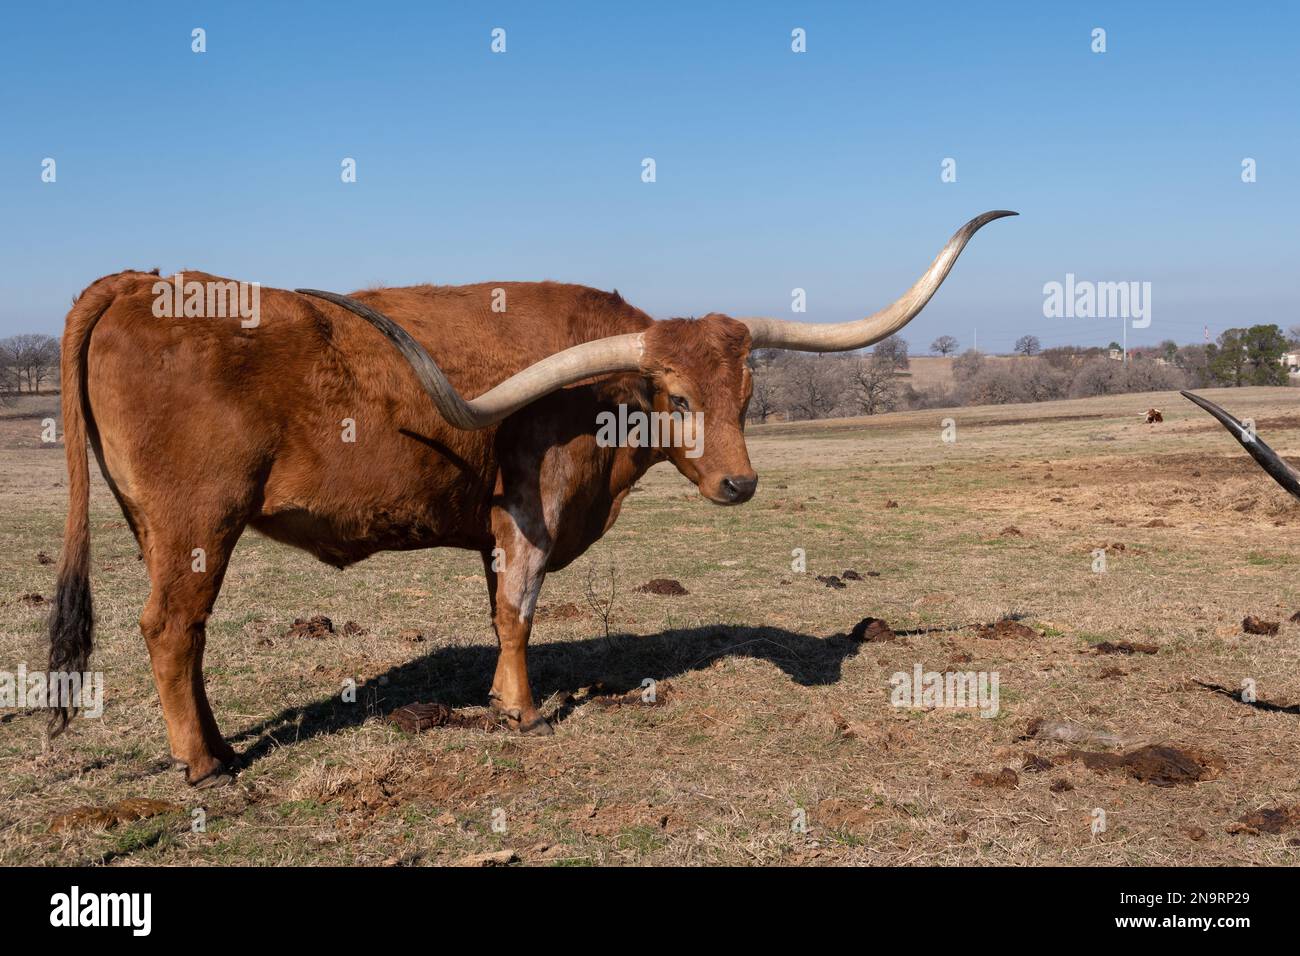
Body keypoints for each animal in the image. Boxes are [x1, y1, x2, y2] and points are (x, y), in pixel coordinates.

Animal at [45, 209, 1013, 785]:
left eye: (746, 392)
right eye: (675, 397)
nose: (739, 482)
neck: (598, 398)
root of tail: (136, 280)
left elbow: (497, 608)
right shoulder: (528, 515)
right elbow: (518, 612)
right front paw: (521, 710)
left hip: (163, 527)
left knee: (189, 633)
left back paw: (218, 745)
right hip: (196, 520)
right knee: (170, 629)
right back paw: (204, 766)